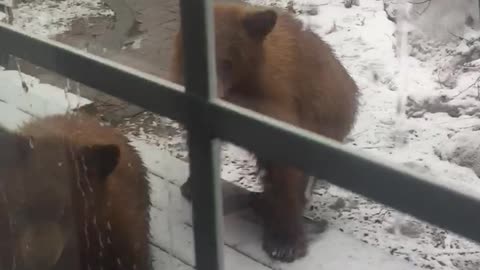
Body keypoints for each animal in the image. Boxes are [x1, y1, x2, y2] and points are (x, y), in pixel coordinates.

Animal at [171, 3, 358, 262]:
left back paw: (283, 236)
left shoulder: (278, 94)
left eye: (228, 61)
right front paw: (193, 184)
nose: (216, 93)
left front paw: (285, 241)